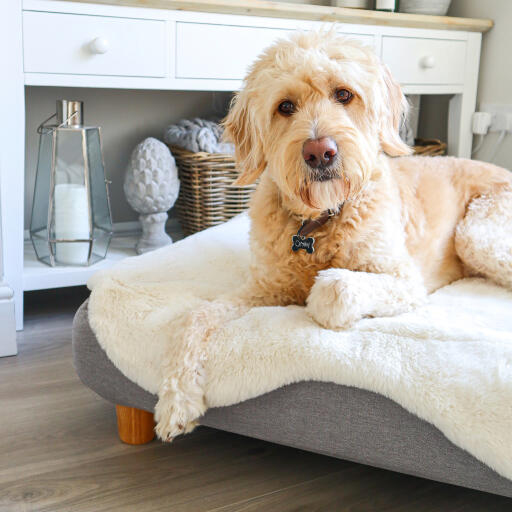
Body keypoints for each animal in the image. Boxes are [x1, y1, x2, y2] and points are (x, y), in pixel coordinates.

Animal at [155, 30, 512, 438]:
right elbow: (195, 316)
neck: (317, 223)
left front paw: (322, 302)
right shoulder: (264, 289)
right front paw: (176, 400)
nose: (319, 152)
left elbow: (334, 287)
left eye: (344, 94)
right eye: (285, 106)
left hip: (476, 235)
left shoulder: (405, 281)